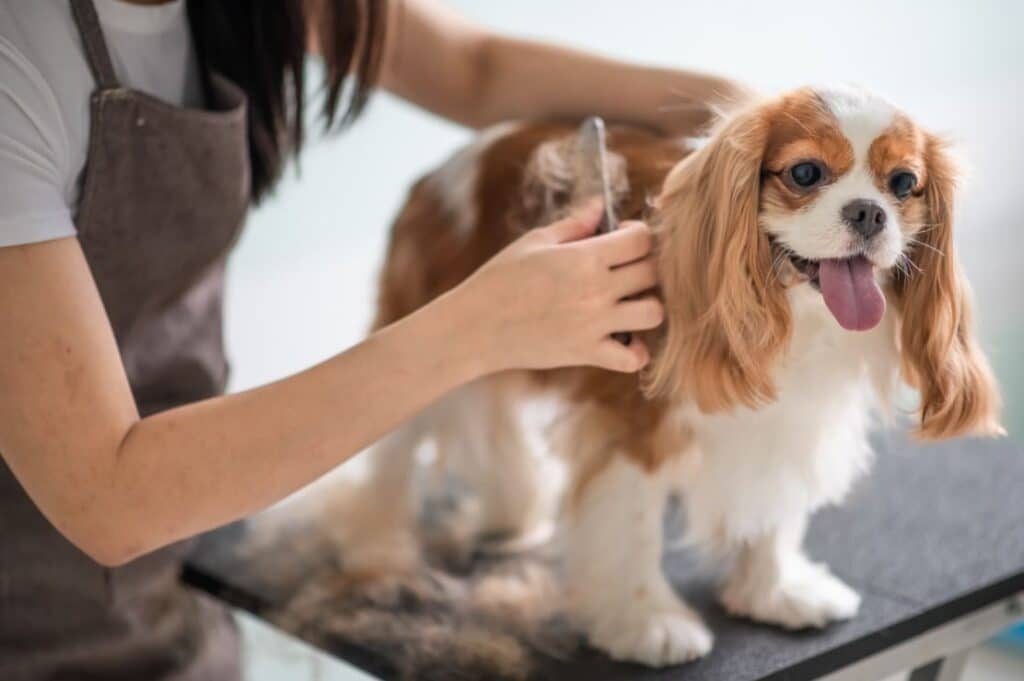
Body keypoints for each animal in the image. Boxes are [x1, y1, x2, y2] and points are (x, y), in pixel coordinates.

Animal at [333, 84, 999, 663]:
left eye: (904, 183)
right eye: (806, 174)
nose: (868, 212)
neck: (795, 319)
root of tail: (439, 172)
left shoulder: (785, 423)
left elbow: (774, 507)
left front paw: (775, 592)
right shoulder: (634, 426)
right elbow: (634, 526)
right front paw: (648, 624)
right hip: (426, 348)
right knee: (390, 460)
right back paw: (379, 556)